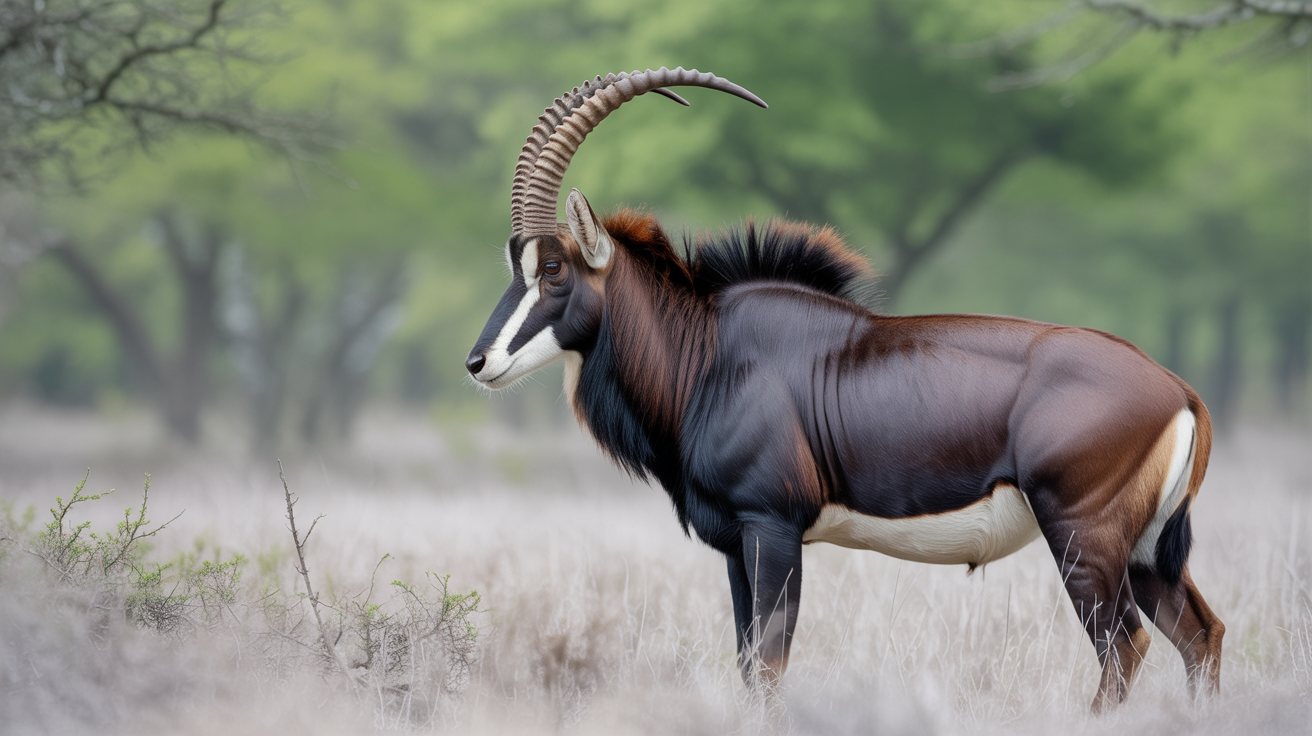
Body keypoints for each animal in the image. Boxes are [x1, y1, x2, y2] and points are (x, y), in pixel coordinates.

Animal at [464, 67, 1223, 711]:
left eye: (553, 267)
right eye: (514, 263)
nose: (478, 362)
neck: (709, 353)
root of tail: (1180, 391)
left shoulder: (772, 528)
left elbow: (769, 666)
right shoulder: (735, 545)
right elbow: (746, 664)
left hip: (1083, 538)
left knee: (1124, 646)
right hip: (1145, 552)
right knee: (1201, 636)